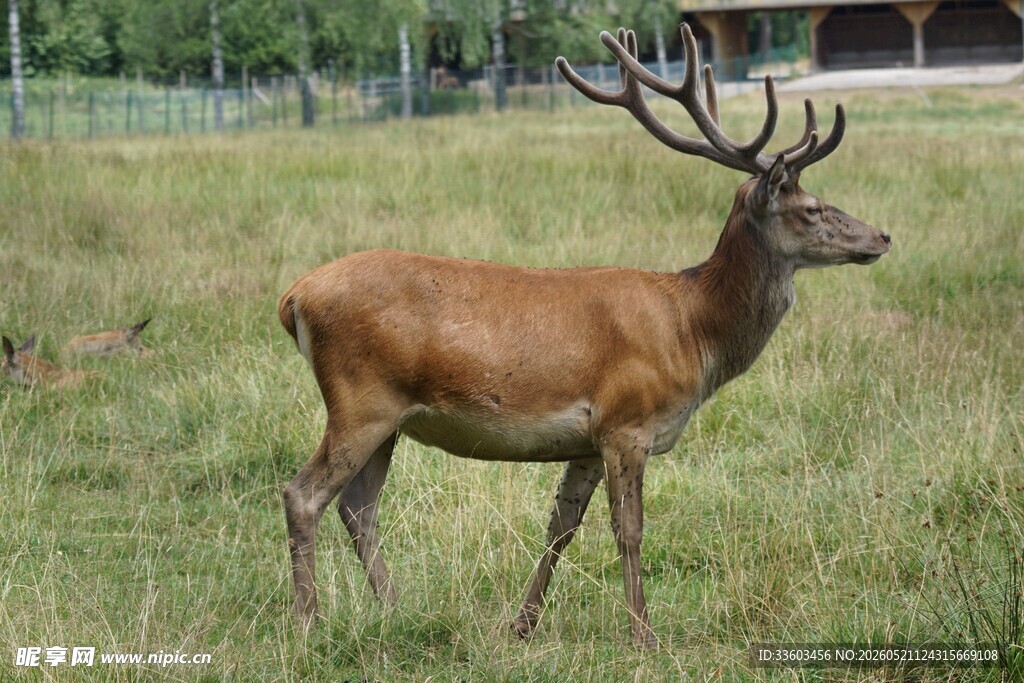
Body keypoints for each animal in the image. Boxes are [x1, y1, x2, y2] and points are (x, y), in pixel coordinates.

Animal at [277, 24, 891, 649]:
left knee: (358, 507)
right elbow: (629, 530)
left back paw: (396, 609)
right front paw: (644, 635)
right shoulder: (628, 421)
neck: (693, 330)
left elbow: (561, 527)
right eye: (812, 208)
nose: (883, 236)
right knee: (304, 494)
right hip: (360, 400)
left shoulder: (588, 440)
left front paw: (522, 624)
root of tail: (294, 297)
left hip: (389, 418)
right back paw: (309, 623)